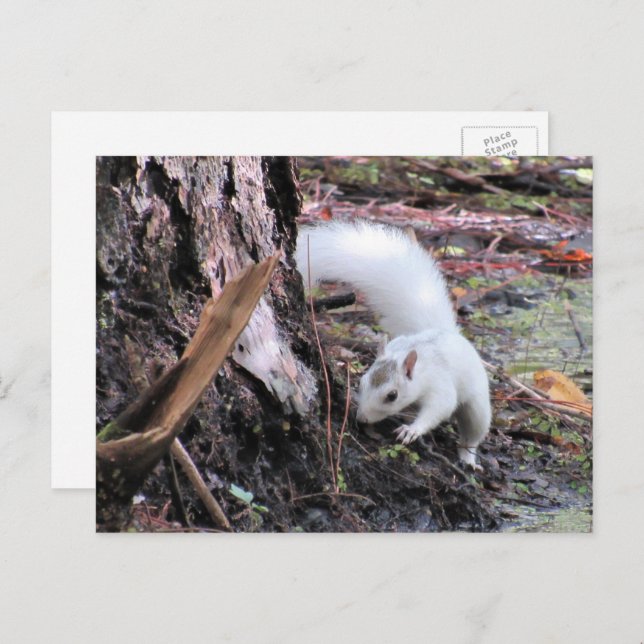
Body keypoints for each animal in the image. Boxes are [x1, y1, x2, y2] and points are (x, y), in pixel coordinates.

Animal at [296, 220, 491, 468]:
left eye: (392, 396)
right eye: (361, 384)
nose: (362, 419)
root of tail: (448, 331)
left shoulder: (439, 384)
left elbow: (441, 406)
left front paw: (411, 430)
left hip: (477, 403)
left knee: (473, 431)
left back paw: (468, 457)